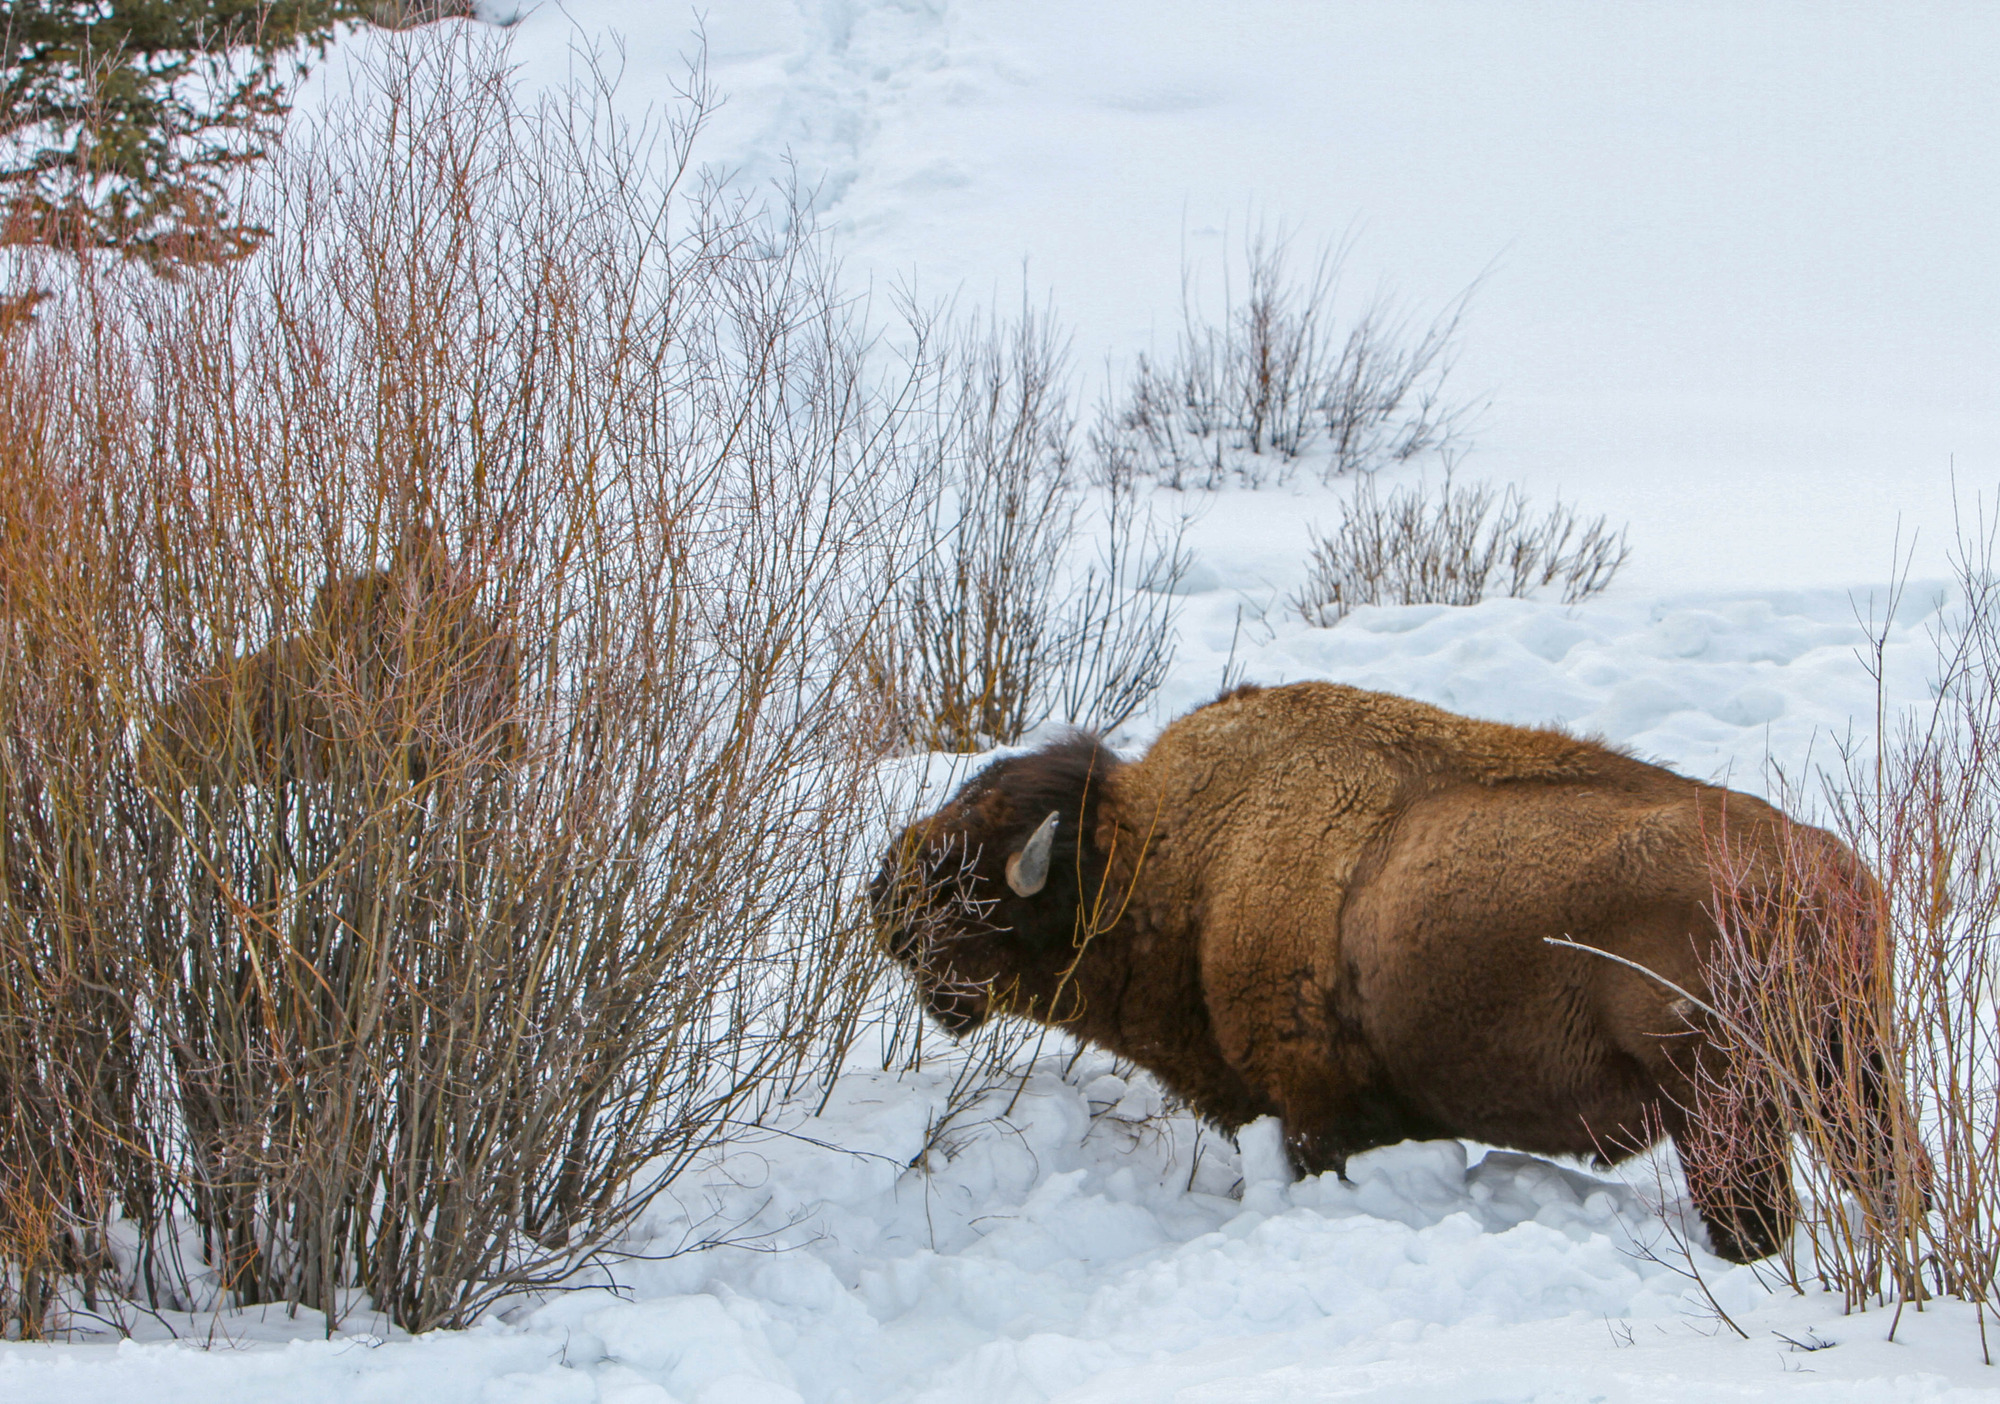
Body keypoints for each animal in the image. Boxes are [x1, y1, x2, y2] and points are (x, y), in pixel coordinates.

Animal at [871, 680, 1907, 1263]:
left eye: (967, 883)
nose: (881, 903)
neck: (1177, 858)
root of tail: (1830, 877)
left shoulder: (1319, 1110)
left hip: (1730, 1115)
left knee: (1758, 1221)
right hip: (1852, 1083)